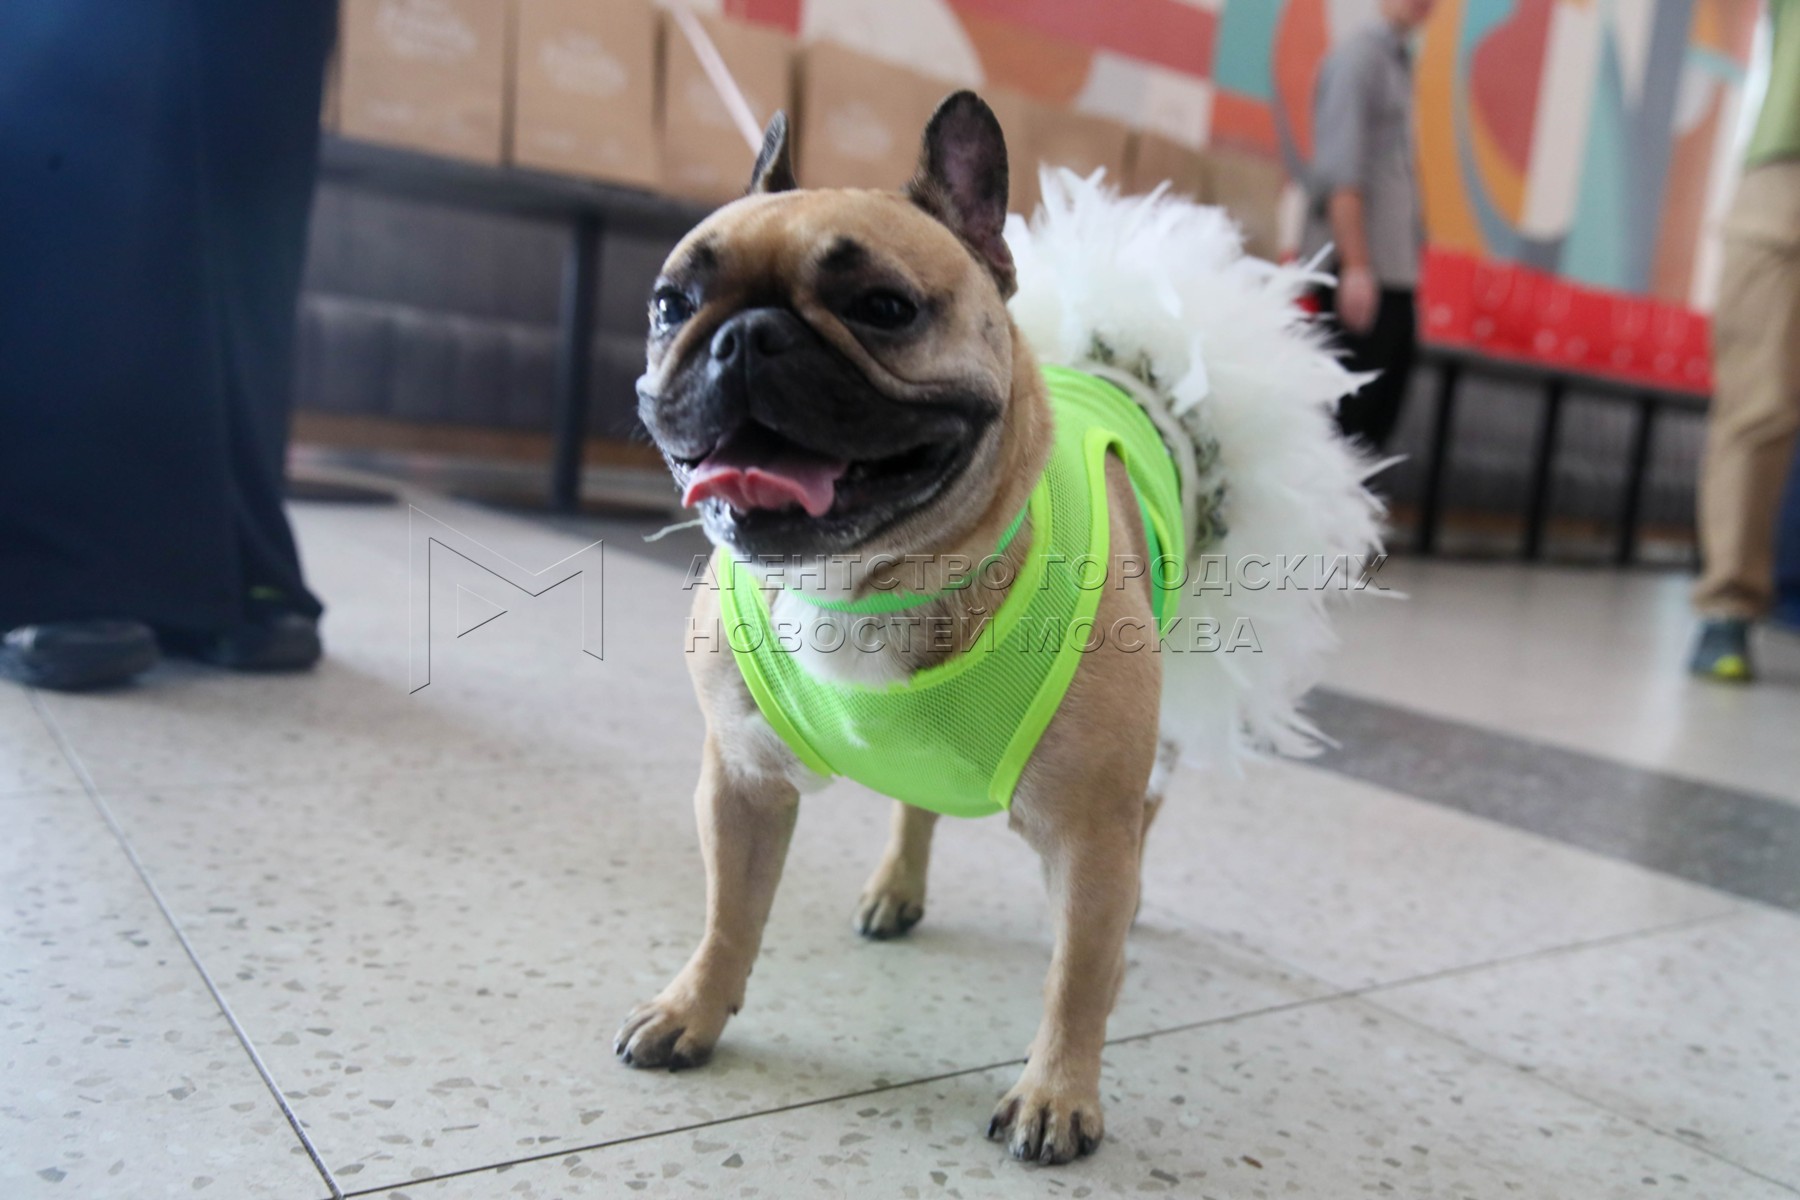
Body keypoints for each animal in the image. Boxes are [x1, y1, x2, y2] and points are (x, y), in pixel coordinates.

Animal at [622, 91, 1381, 1165]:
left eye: (884, 308)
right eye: (670, 304)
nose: (745, 337)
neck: (876, 580)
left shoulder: (1088, 833)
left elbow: (1075, 977)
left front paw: (1057, 1094)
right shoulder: (743, 784)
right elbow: (730, 912)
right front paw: (693, 1009)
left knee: (1137, 836)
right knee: (917, 807)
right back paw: (896, 888)